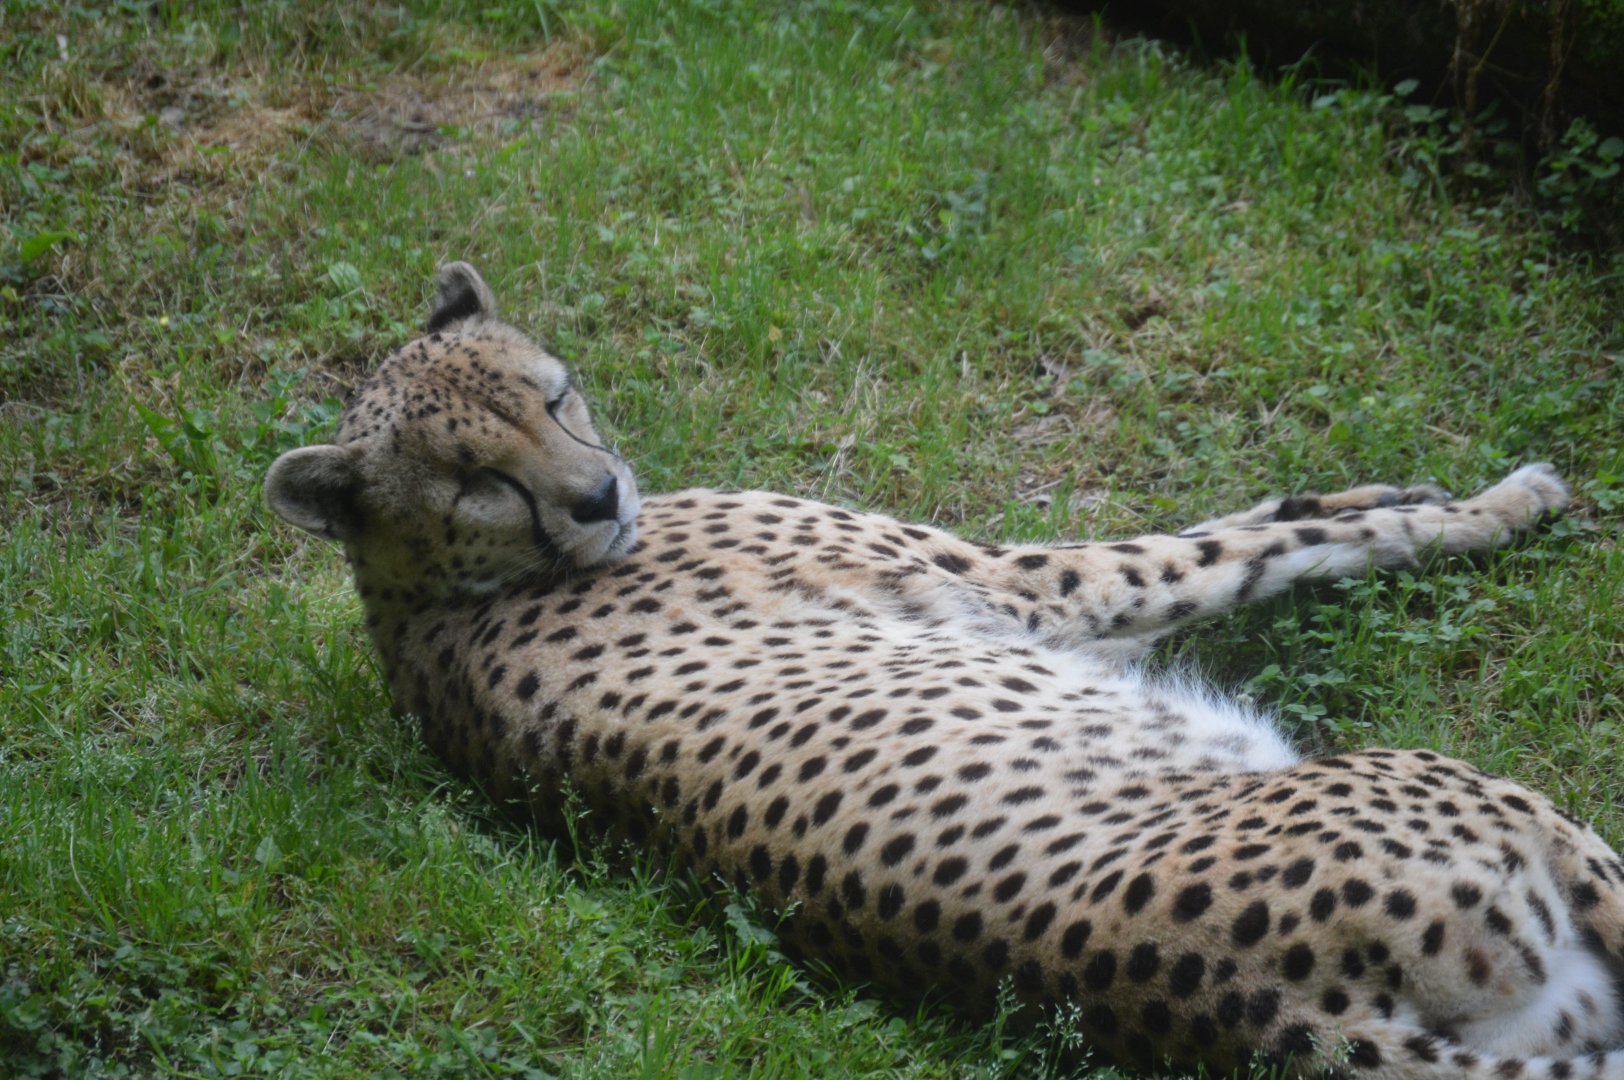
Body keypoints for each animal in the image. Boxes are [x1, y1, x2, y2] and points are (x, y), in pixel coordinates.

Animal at [267, 263, 1624, 1079]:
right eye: (476, 480)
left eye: (554, 397)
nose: (598, 496)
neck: (426, 599)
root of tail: (1271, 1018)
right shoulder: (1024, 592)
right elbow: (1230, 549)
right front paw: (1493, 507)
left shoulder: (1045, 620)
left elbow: (1253, 524)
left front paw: (1374, 490)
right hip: (1504, 807)